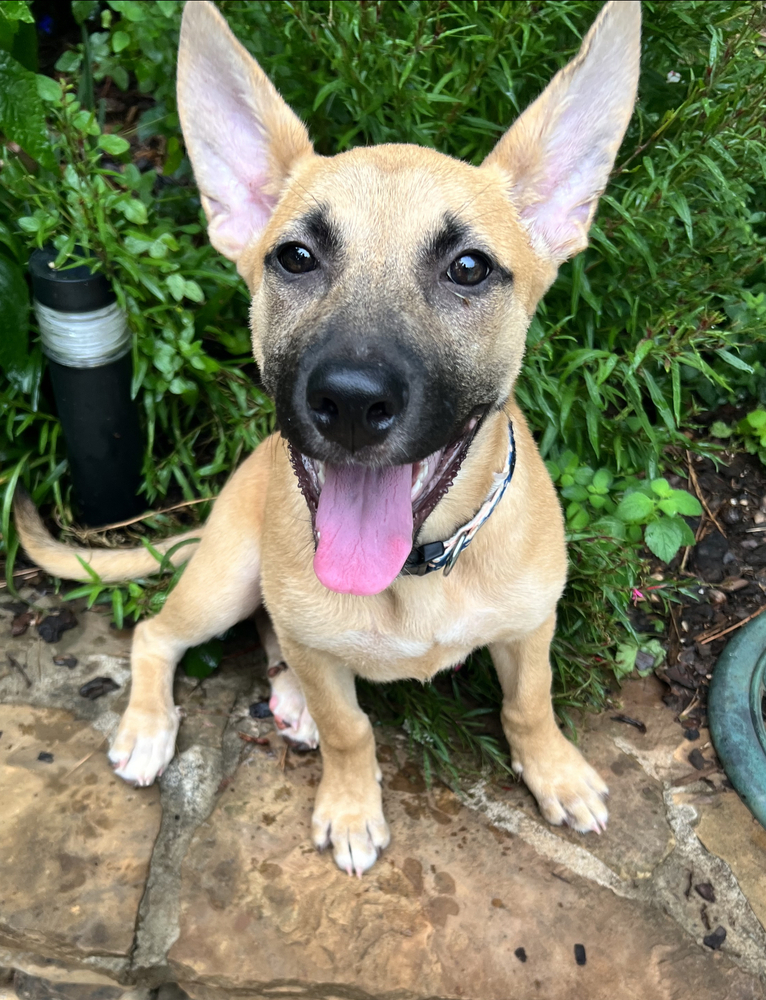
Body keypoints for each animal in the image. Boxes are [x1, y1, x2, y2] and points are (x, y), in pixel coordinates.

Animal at [16, 0, 640, 876]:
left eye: (470, 268)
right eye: (296, 257)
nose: (348, 401)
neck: (420, 568)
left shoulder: (530, 627)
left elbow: (530, 703)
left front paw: (556, 772)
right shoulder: (322, 652)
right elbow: (352, 728)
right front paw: (349, 807)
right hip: (226, 578)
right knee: (159, 634)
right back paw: (151, 727)